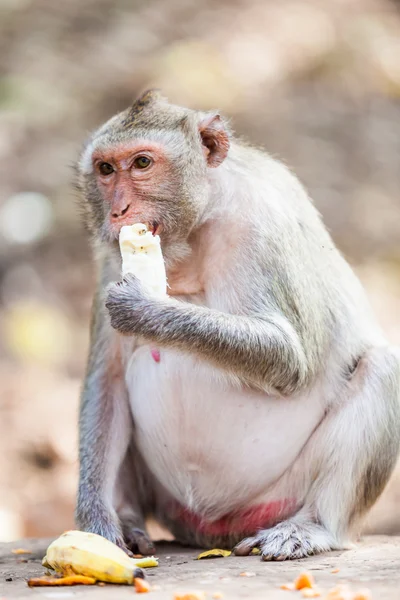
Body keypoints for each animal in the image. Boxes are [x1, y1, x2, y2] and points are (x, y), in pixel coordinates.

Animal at [74, 90, 400, 564]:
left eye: (141, 163)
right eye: (105, 169)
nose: (118, 210)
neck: (195, 232)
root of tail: (214, 531)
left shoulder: (262, 225)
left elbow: (289, 359)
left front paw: (144, 308)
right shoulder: (109, 260)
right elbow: (108, 381)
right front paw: (97, 525)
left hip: (284, 494)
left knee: (383, 367)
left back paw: (311, 527)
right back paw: (130, 520)